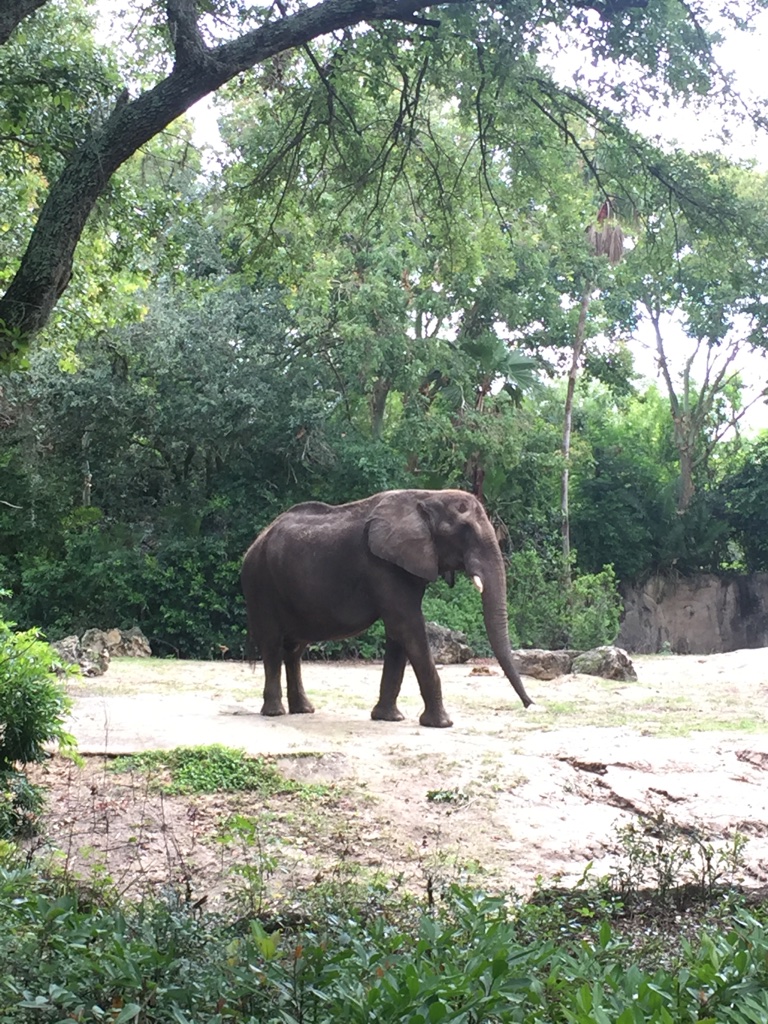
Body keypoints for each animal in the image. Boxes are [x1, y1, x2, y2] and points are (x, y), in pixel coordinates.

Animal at [241, 487, 536, 729]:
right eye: (465, 531)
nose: (531, 705)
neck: (428, 496)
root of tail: (254, 543)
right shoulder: (383, 566)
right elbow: (407, 625)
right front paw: (442, 724)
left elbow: (398, 633)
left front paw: (388, 718)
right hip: (260, 583)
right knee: (272, 644)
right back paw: (275, 713)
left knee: (295, 648)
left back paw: (303, 710)